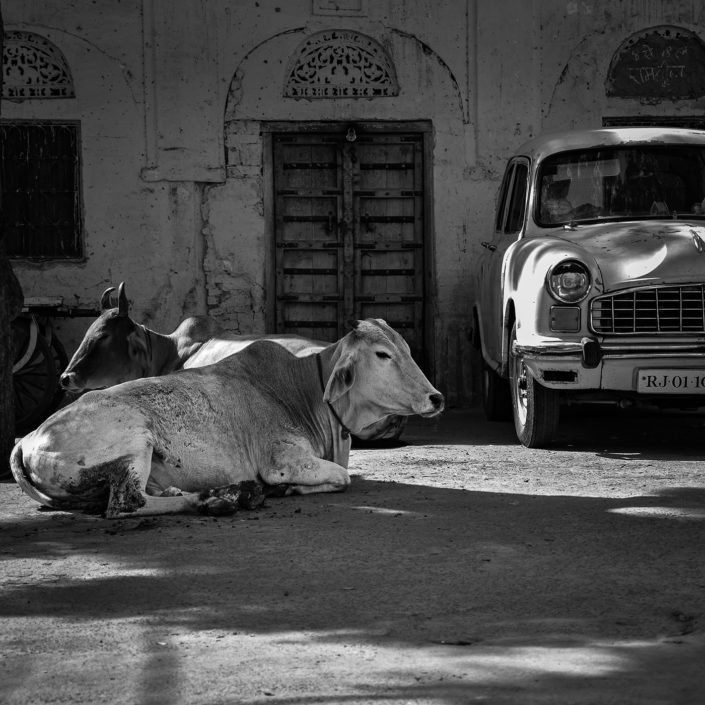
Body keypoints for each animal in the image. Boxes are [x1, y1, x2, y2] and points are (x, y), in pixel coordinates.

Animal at [11, 320, 442, 516]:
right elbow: (341, 477)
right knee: (127, 503)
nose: (435, 397)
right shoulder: (282, 460)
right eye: (382, 355)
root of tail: (28, 439)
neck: (303, 388)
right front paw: (286, 490)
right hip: (137, 441)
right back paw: (224, 497)